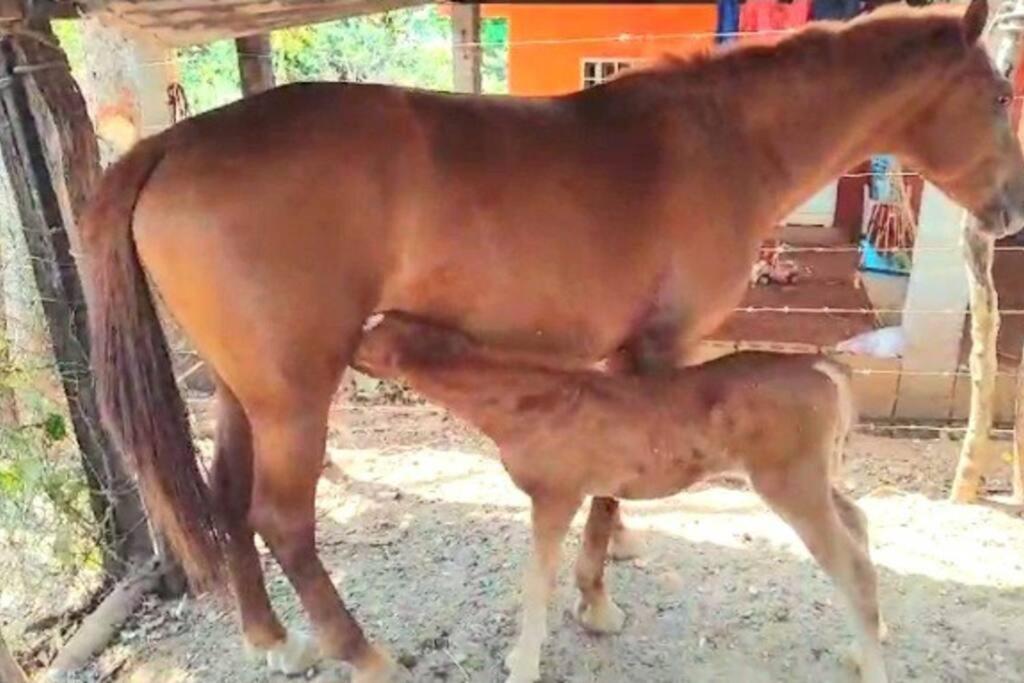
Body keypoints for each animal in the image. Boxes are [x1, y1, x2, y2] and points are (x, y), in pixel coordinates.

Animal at [358, 313, 888, 683]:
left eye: (370, 328)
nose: (345, 346)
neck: (524, 403)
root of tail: (820, 365)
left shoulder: (556, 495)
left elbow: (536, 584)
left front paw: (523, 665)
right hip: (813, 477)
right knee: (858, 521)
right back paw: (866, 645)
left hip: (790, 482)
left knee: (853, 568)